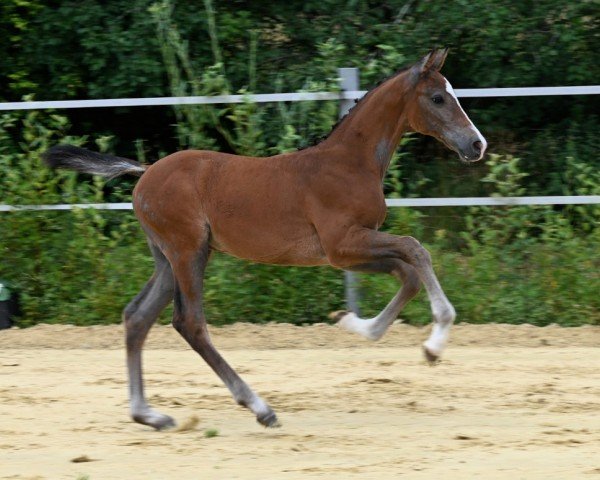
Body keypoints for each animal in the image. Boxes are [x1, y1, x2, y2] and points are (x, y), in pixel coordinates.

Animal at [45, 49, 488, 432]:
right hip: (189, 252)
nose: (477, 145)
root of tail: (146, 171)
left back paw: (149, 415)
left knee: (137, 317)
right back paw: (259, 407)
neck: (349, 163)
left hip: (168, 258)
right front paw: (432, 343)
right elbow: (416, 249)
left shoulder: (348, 252)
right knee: (190, 323)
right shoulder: (341, 246)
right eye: (437, 97)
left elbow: (407, 272)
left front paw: (358, 325)